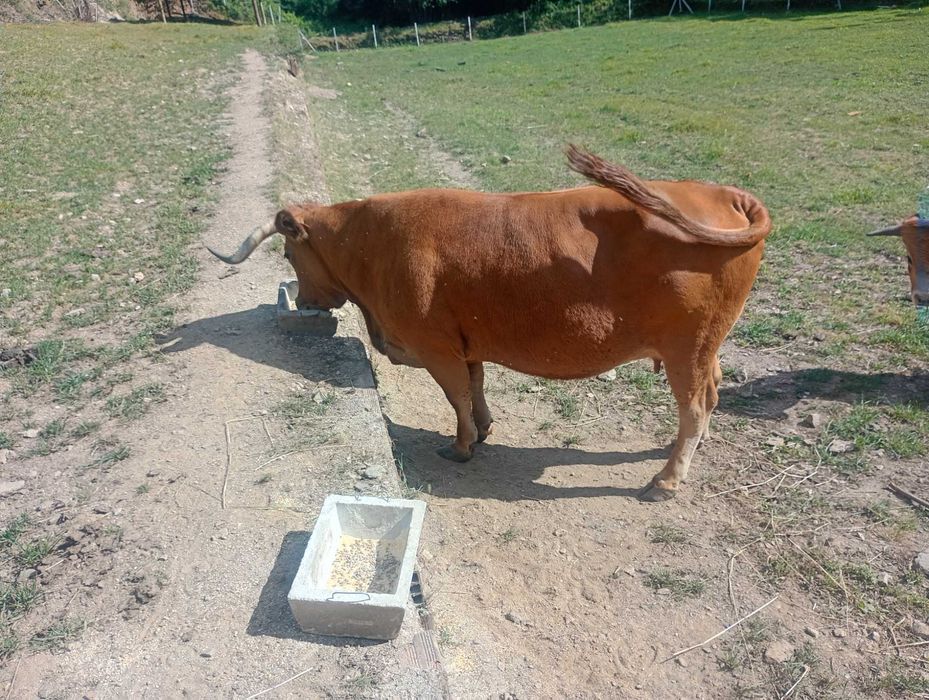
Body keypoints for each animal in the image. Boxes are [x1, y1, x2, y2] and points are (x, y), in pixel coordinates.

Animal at [208, 146, 772, 500]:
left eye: (288, 252)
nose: (305, 300)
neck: (372, 243)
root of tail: (723, 194)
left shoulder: (435, 347)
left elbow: (455, 394)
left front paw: (460, 446)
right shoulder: (468, 341)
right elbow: (475, 388)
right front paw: (482, 429)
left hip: (685, 348)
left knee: (694, 407)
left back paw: (667, 479)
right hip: (704, 348)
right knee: (711, 394)